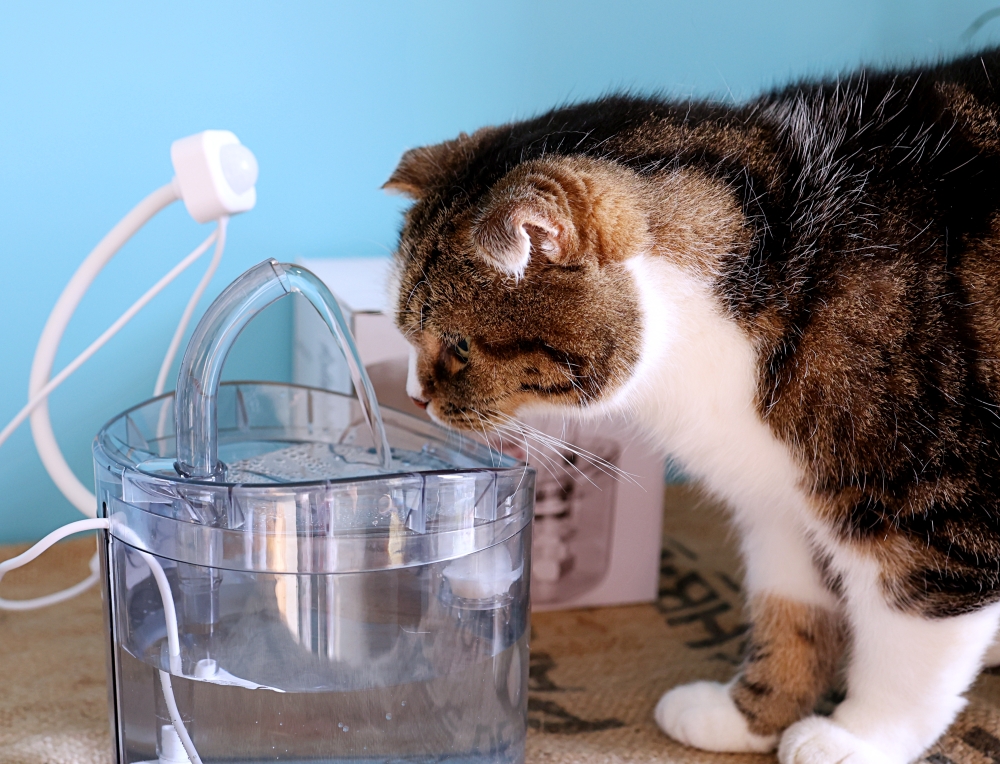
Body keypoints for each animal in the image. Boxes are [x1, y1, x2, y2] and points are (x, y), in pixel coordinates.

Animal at [384, 49, 1000, 764]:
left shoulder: (935, 516)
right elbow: (791, 611)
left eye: (457, 345)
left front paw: (857, 737)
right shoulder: (777, 506)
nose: (415, 396)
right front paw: (748, 715)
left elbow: (909, 647)